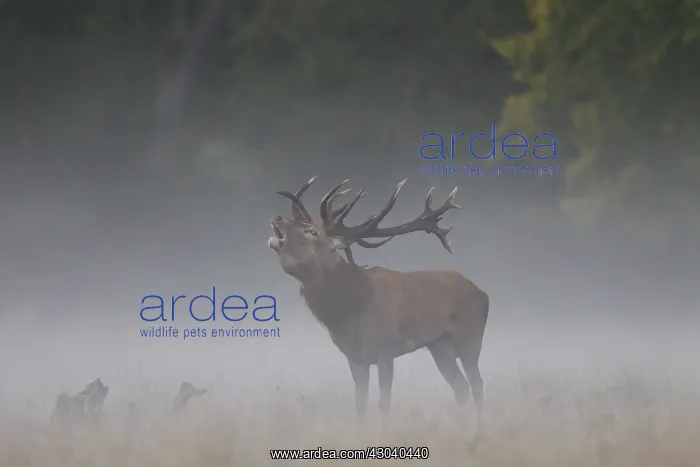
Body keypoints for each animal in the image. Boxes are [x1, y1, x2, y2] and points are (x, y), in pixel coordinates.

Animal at [268, 176, 489, 433]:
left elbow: (384, 402)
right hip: (439, 346)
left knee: (477, 384)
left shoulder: (386, 349)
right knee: (460, 386)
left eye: (312, 231)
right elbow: (360, 404)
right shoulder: (354, 358)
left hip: (470, 337)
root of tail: (484, 293)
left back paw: (477, 431)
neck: (351, 312)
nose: (277, 218)